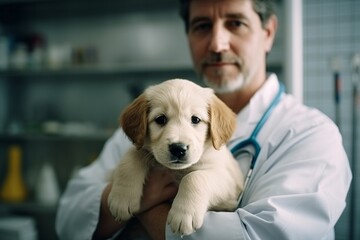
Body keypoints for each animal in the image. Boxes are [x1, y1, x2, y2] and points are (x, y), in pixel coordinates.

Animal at [107, 78, 242, 234]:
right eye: (160, 119)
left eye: (195, 119)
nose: (178, 149)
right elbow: (132, 157)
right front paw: (122, 199)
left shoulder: (230, 183)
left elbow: (194, 177)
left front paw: (184, 214)